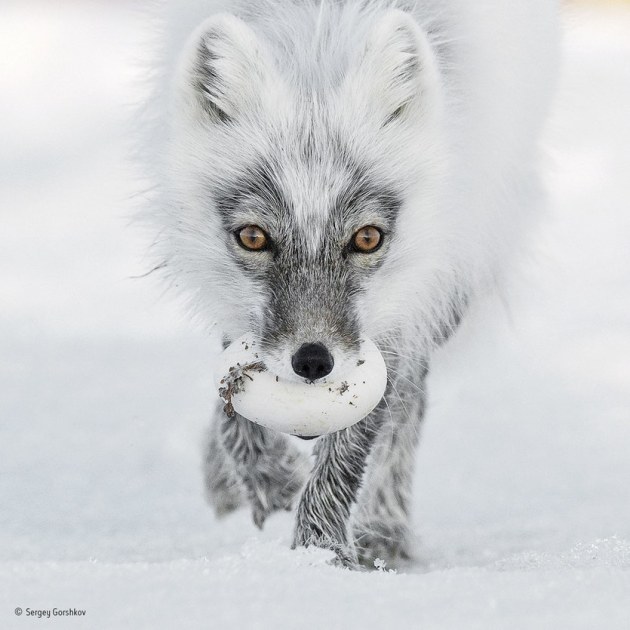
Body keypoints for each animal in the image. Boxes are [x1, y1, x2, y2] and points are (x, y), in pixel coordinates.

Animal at [141, 0, 560, 572]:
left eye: (366, 238)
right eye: (253, 237)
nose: (313, 362)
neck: (318, 44)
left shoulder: (400, 312)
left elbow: (353, 448)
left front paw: (320, 558)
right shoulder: (235, 306)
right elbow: (233, 400)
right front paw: (269, 480)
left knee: (409, 406)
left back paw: (384, 531)